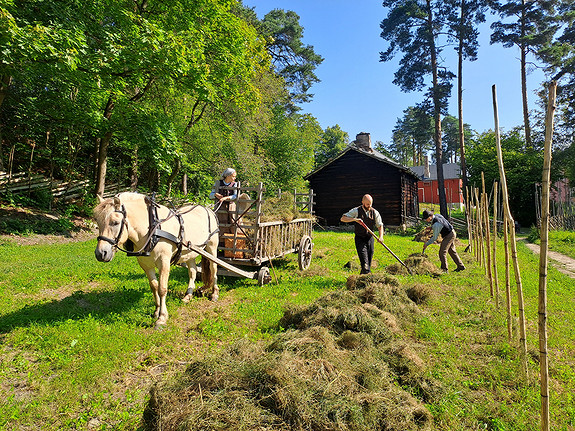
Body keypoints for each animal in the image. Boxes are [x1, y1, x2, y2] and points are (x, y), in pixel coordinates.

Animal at [93, 192, 219, 328]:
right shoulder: (146, 265)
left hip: (212, 247)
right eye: (97, 222)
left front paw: (162, 317)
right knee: (193, 271)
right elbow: (154, 287)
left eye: (115, 222)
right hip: (190, 252)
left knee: (213, 268)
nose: (100, 253)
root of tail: (208, 209)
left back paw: (214, 293)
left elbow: (162, 289)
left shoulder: (164, 263)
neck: (153, 230)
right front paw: (156, 311)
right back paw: (188, 295)